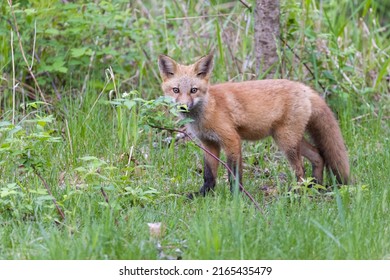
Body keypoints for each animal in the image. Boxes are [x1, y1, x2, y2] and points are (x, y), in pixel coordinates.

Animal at [158, 53, 350, 197]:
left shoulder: (232, 140)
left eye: (193, 90)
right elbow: (209, 175)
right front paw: (203, 194)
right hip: (288, 139)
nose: (183, 106)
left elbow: (234, 174)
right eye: (176, 90)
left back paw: (296, 193)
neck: (207, 111)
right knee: (318, 156)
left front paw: (236, 198)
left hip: (286, 141)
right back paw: (315, 188)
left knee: (300, 170)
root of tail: (304, 88)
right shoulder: (209, 143)